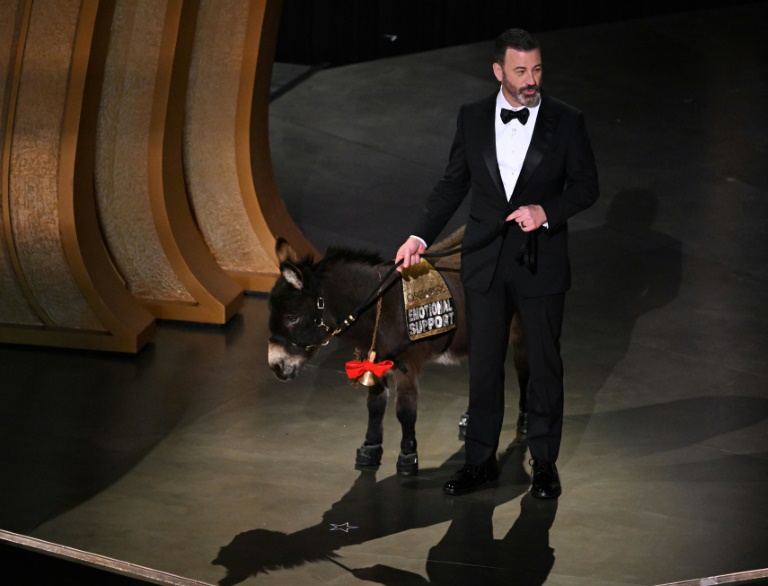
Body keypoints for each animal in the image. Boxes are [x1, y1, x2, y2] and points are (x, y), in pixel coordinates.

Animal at [267, 231, 528, 476]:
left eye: (292, 317)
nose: (275, 366)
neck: (381, 309)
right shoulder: (373, 359)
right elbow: (375, 404)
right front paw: (370, 448)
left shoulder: (407, 366)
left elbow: (405, 410)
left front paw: (408, 455)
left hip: (517, 330)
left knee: (523, 372)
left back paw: (524, 421)